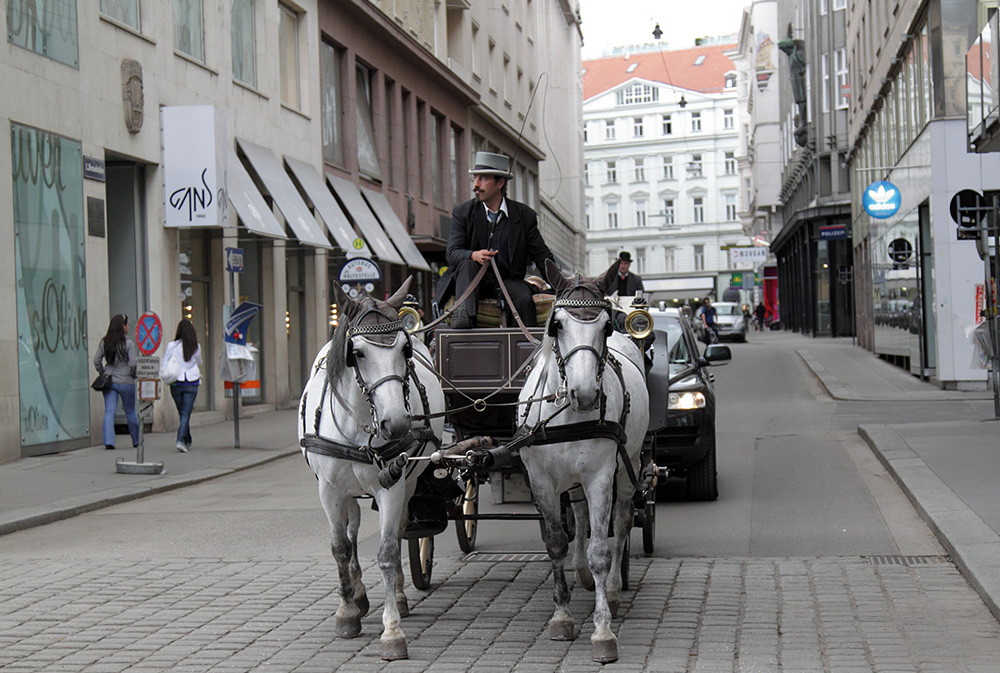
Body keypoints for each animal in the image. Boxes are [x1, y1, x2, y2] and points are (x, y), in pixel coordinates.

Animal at [296, 276, 446, 660]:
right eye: (358, 353)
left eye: (404, 350)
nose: (398, 424)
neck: (360, 424)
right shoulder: (329, 490)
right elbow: (339, 546)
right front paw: (347, 611)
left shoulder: (391, 486)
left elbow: (388, 551)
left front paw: (392, 630)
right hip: (347, 491)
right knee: (351, 532)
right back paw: (358, 595)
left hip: (408, 483)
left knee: (399, 529)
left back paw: (399, 594)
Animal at [516, 260, 648, 664]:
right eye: (556, 325)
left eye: (605, 326)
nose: (586, 393)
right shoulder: (541, 480)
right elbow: (558, 542)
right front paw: (561, 616)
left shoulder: (601, 476)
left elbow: (601, 550)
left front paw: (603, 631)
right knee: (579, 512)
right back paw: (581, 575)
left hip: (629, 465)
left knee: (620, 522)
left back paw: (614, 589)